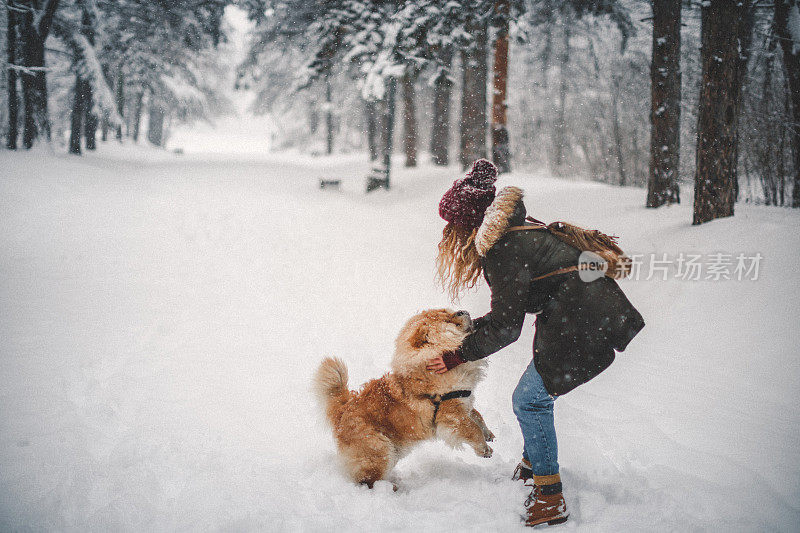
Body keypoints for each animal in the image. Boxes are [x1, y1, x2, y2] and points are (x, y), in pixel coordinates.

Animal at [314, 308, 494, 486]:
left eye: (448, 311)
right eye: (447, 319)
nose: (463, 311)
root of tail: (342, 410)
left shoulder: (464, 400)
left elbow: (477, 416)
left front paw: (489, 434)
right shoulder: (451, 413)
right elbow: (472, 429)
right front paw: (485, 449)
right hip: (380, 449)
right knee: (368, 480)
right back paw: (391, 488)